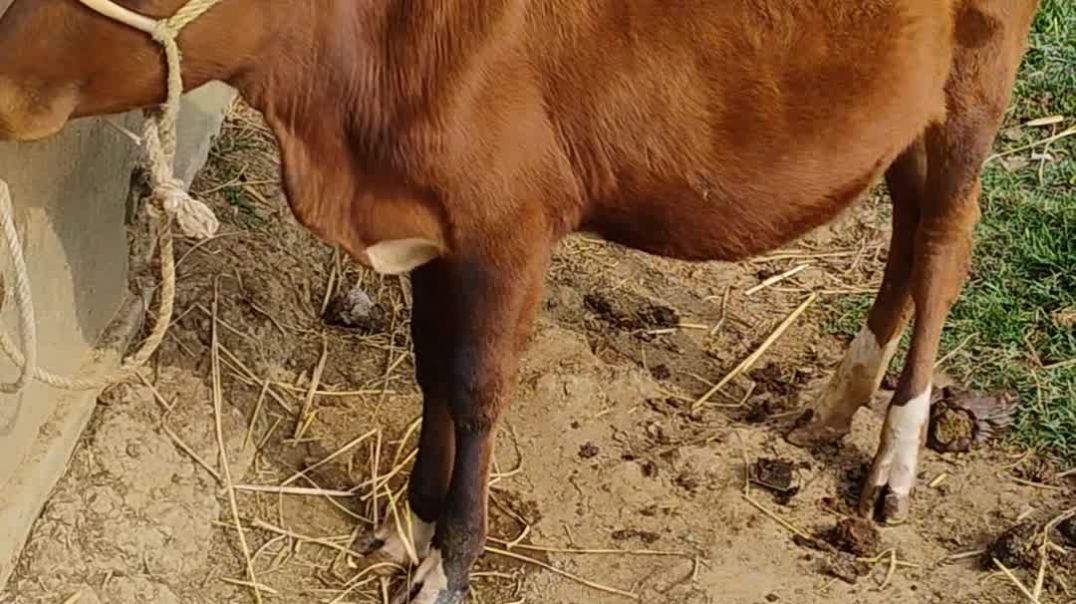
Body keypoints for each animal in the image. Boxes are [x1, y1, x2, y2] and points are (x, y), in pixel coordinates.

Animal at [0, 1, 1041, 602]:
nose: (3, 84)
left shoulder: (509, 228)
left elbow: (473, 388)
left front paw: (450, 561)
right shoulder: (434, 227)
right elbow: (429, 370)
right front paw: (410, 524)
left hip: (975, 88)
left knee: (944, 245)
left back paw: (896, 455)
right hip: (908, 114)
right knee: (907, 227)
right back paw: (835, 401)